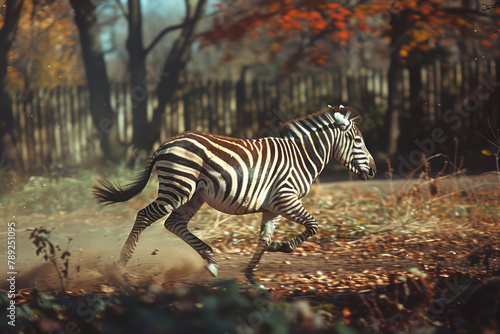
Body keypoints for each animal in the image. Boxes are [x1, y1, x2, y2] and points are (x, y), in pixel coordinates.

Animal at [93, 105, 376, 284]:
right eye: (358, 141)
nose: (374, 171)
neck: (301, 157)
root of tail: (165, 143)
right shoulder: (286, 199)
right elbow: (313, 225)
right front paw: (282, 246)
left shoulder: (273, 207)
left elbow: (263, 239)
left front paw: (252, 271)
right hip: (178, 188)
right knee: (145, 215)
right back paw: (121, 266)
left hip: (193, 195)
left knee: (174, 223)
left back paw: (209, 258)